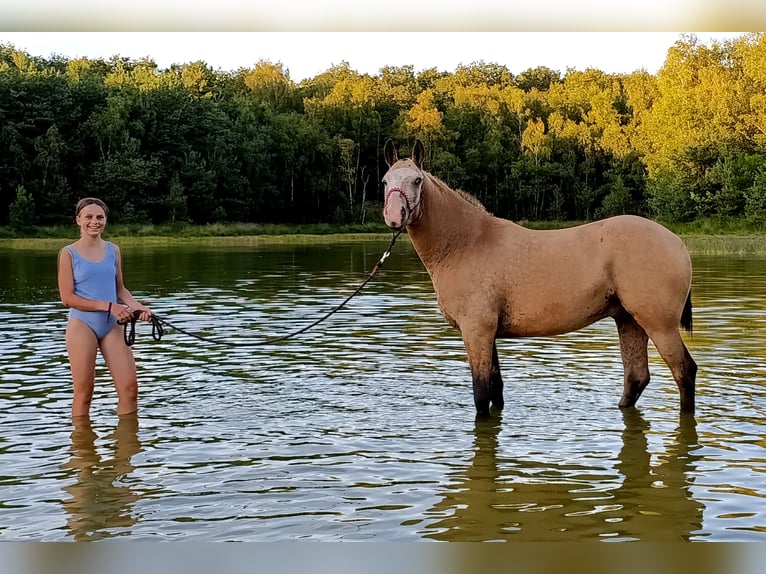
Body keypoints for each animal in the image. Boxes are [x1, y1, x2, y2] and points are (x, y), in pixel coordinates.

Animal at [382, 139, 697, 417]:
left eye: (417, 181)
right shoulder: (488, 333)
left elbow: (481, 394)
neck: (466, 244)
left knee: (684, 371)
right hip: (629, 320)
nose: (394, 216)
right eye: (385, 181)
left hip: (659, 325)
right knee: (636, 377)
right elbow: (496, 389)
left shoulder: (476, 330)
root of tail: (677, 243)